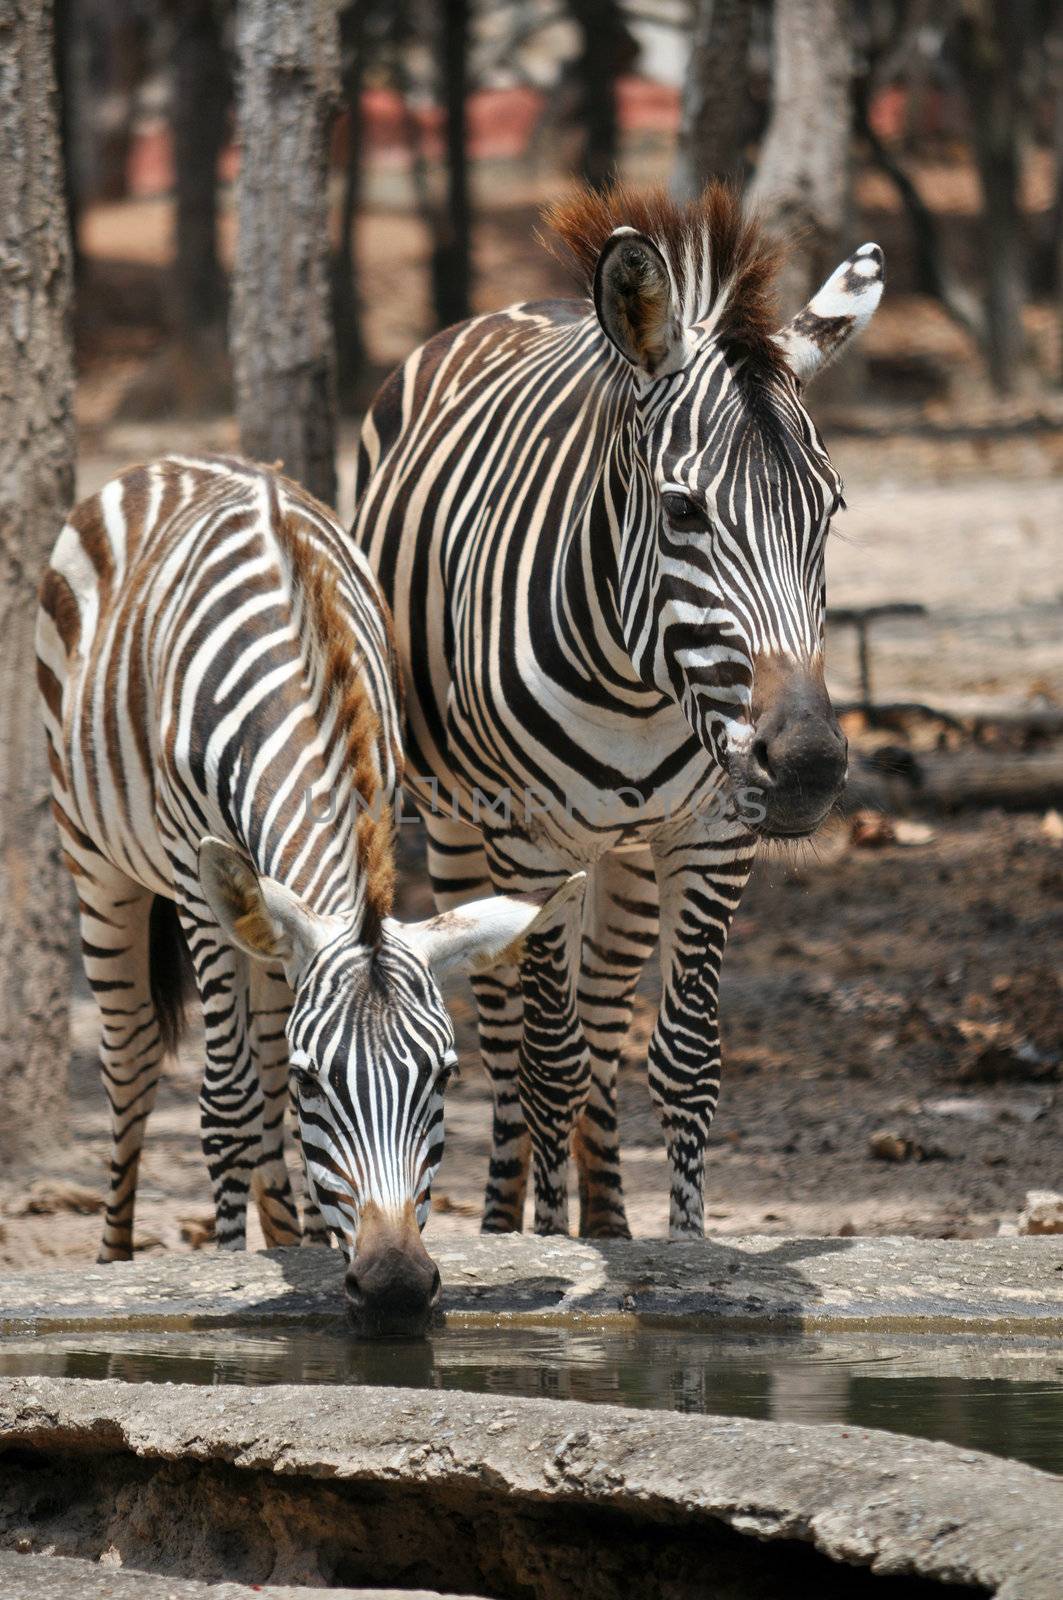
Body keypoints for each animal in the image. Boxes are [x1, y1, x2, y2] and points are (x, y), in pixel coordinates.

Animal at [37, 457, 582, 1331]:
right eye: (313, 1081)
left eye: (444, 1077)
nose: (394, 1287)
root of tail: (173, 463)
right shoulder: (198, 886)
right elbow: (227, 1104)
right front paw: (225, 1268)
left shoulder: (371, 815)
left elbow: (262, 1095)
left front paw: (310, 1253)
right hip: (96, 861)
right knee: (134, 1062)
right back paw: (115, 1260)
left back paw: (290, 1235)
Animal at [352, 184, 883, 1235]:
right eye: (683, 511)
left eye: (830, 509)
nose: (806, 765)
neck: (639, 686)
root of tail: (524, 307)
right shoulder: (528, 843)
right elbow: (545, 1064)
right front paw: (540, 1244)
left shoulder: (716, 835)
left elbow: (683, 1060)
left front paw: (677, 1249)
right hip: (461, 828)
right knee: (509, 1038)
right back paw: (507, 1220)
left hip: (630, 852)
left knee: (601, 1019)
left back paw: (606, 1222)